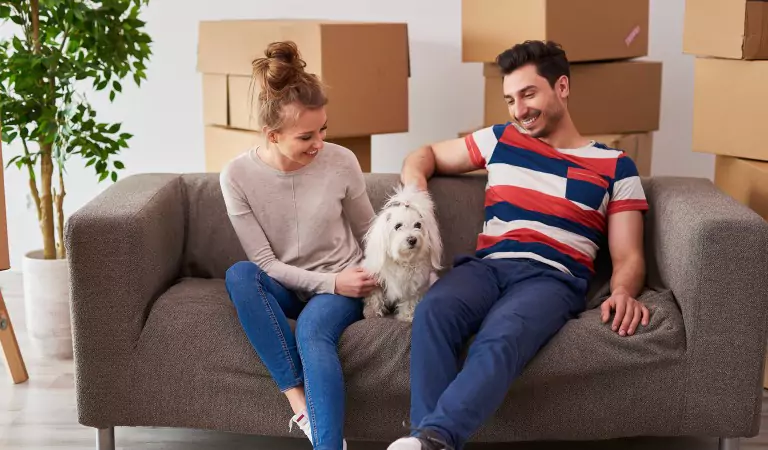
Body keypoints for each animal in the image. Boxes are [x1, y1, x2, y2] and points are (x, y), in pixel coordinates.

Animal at [362, 185, 444, 322]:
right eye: (398, 226)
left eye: (418, 225)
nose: (412, 239)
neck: (403, 260)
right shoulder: (376, 280)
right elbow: (375, 295)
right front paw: (372, 312)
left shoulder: (412, 287)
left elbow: (409, 301)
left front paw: (407, 316)